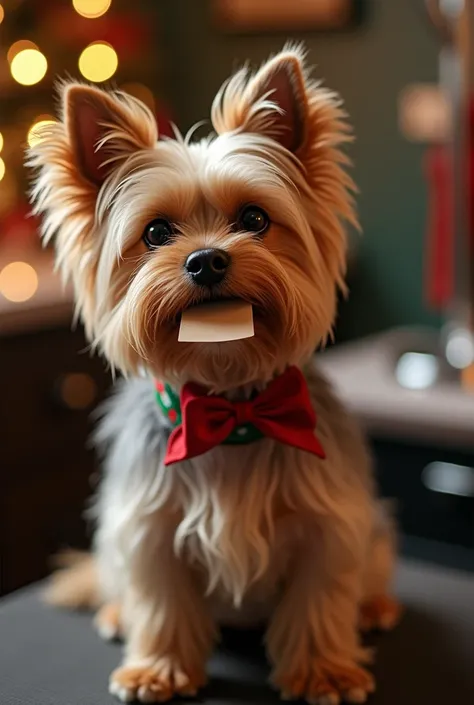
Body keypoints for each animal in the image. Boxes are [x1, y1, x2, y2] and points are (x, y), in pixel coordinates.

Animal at [27, 45, 400, 704]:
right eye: (155, 232)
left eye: (254, 218)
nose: (206, 260)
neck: (233, 410)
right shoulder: (148, 525)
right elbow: (162, 601)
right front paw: (158, 668)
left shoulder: (328, 522)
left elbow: (320, 597)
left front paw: (323, 672)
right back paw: (116, 613)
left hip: (376, 527)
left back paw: (374, 605)